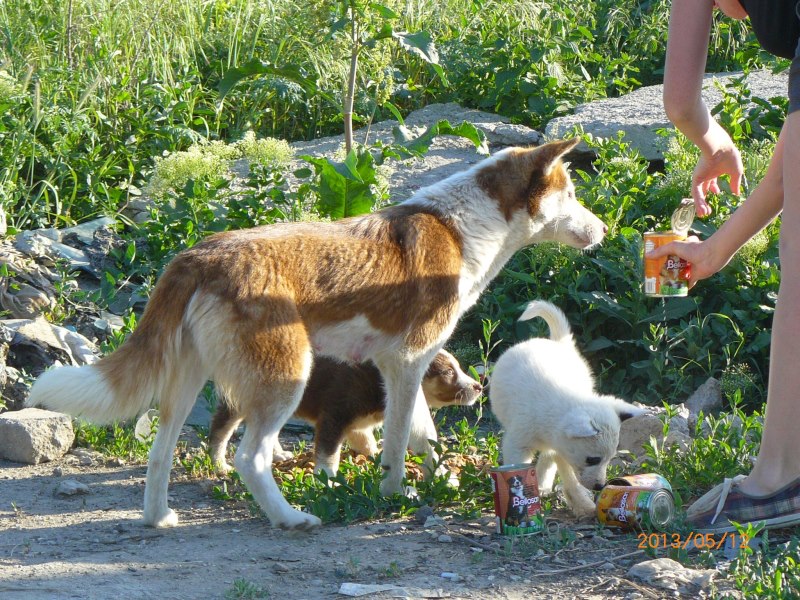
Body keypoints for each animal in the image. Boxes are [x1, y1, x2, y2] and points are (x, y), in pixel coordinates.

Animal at [208, 349, 482, 475]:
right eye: (449, 372)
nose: (479, 386)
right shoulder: (334, 415)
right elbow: (328, 453)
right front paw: (327, 477)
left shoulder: (356, 423)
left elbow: (365, 442)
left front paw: (374, 459)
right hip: (238, 399)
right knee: (220, 429)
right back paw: (219, 464)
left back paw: (276, 454)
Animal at [489, 300, 644, 518]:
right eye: (593, 459)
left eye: (609, 459)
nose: (600, 486)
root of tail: (558, 343)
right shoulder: (519, 443)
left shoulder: (563, 449)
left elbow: (568, 475)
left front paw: (582, 504)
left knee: (548, 457)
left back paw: (544, 483)